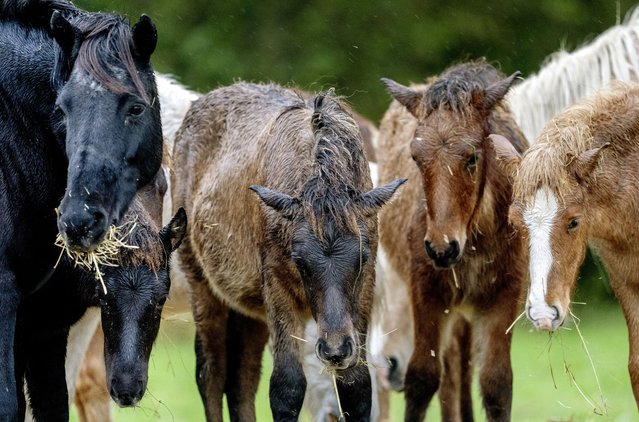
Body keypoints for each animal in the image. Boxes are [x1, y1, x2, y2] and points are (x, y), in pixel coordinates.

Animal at [170, 81, 404, 418]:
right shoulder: (276, 284)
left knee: (242, 379)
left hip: (248, 304)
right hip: (201, 281)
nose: (334, 349)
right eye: (299, 260)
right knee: (210, 373)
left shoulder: (366, 288)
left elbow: (356, 384)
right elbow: (287, 386)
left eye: (362, 257)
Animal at [380, 60, 528, 422]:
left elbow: (496, 382)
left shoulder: (506, 293)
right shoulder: (427, 291)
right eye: (415, 157)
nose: (441, 248)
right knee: (450, 375)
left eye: (472, 157)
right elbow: (422, 378)